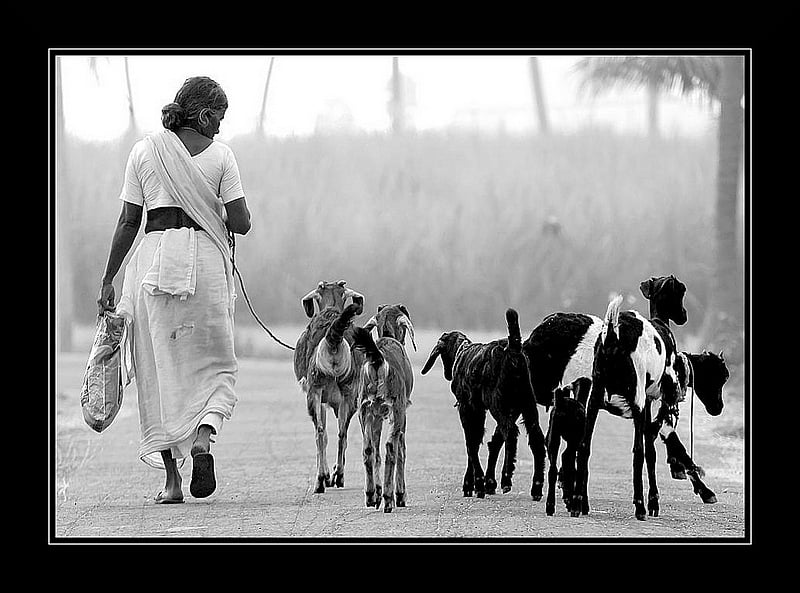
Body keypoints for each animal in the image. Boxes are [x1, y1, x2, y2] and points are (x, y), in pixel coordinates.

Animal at [293, 280, 365, 493]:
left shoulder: (318, 396)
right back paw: (338, 475)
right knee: (342, 434)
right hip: (349, 395)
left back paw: (320, 480)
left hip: (314, 392)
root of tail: (334, 341)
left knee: (320, 433)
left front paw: (324, 475)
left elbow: (323, 433)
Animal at [351, 304, 415, 512]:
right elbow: (402, 450)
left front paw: (377, 493)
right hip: (396, 408)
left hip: (364, 409)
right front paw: (400, 495)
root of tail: (378, 359)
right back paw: (389, 498)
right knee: (391, 448)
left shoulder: (376, 414)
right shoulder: (402, 412)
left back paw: (372, 494)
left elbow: (375, 452)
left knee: (369, 449)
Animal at [420, 309, 547, 501]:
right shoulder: (480, 410)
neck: (461, 352)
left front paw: (477, 483)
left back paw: (507, 477)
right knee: (536, 440)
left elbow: (471, 444)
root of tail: (514, 351)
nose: (448, 375)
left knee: (511, 434)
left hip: (498, 404)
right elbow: (478, 440)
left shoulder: (467, 408)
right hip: (527, 404)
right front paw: (473, 483)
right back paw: (537, 487)